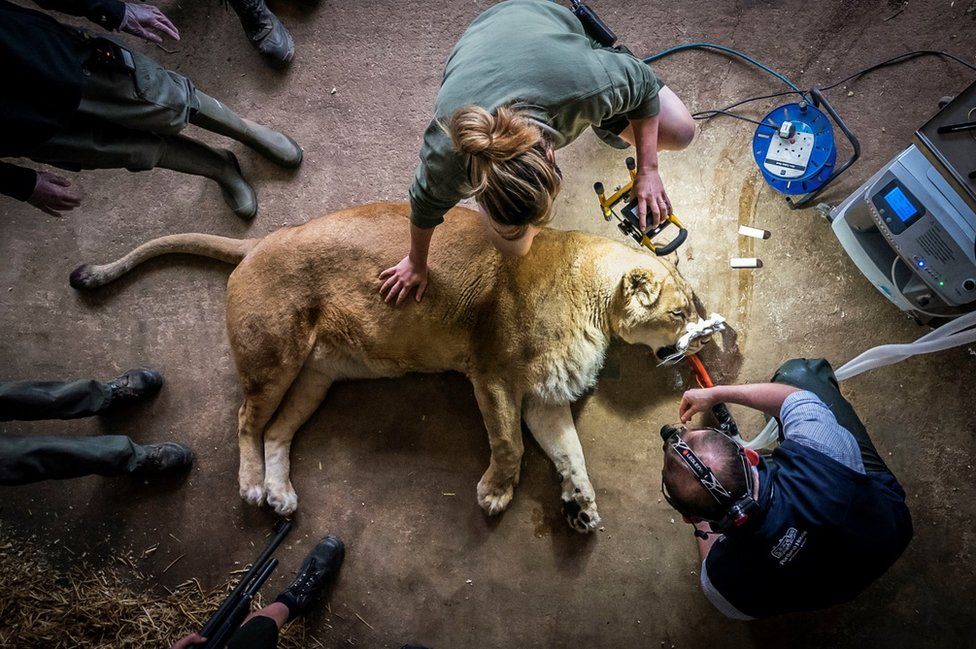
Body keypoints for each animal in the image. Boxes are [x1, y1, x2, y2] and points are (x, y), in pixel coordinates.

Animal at [74, 202, 700, 532]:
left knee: (276, 432)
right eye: (681, 309)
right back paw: (253, 486)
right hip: (274, 357)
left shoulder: (545, 396)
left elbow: (570, 454)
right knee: (246, 422)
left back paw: (281, 496)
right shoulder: (492, 374)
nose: (708, 330)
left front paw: (582, 506)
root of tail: (259, 242)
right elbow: (510, 446)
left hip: (316, 377)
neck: (592, 299)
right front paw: (495, 495)